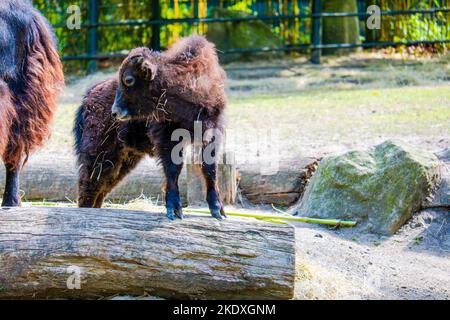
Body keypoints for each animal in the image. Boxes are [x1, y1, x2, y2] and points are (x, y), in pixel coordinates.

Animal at [75, 35, 229, 220]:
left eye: (129, 79)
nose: (115, 111)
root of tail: (89, 96)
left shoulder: (212, 133)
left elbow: (210, 169)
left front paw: (218, 210)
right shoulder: (166, 138)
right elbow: (173, 170)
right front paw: (174, 210)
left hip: (123, 159)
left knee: (101, 188)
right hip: (99, 155)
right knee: (89, 187)